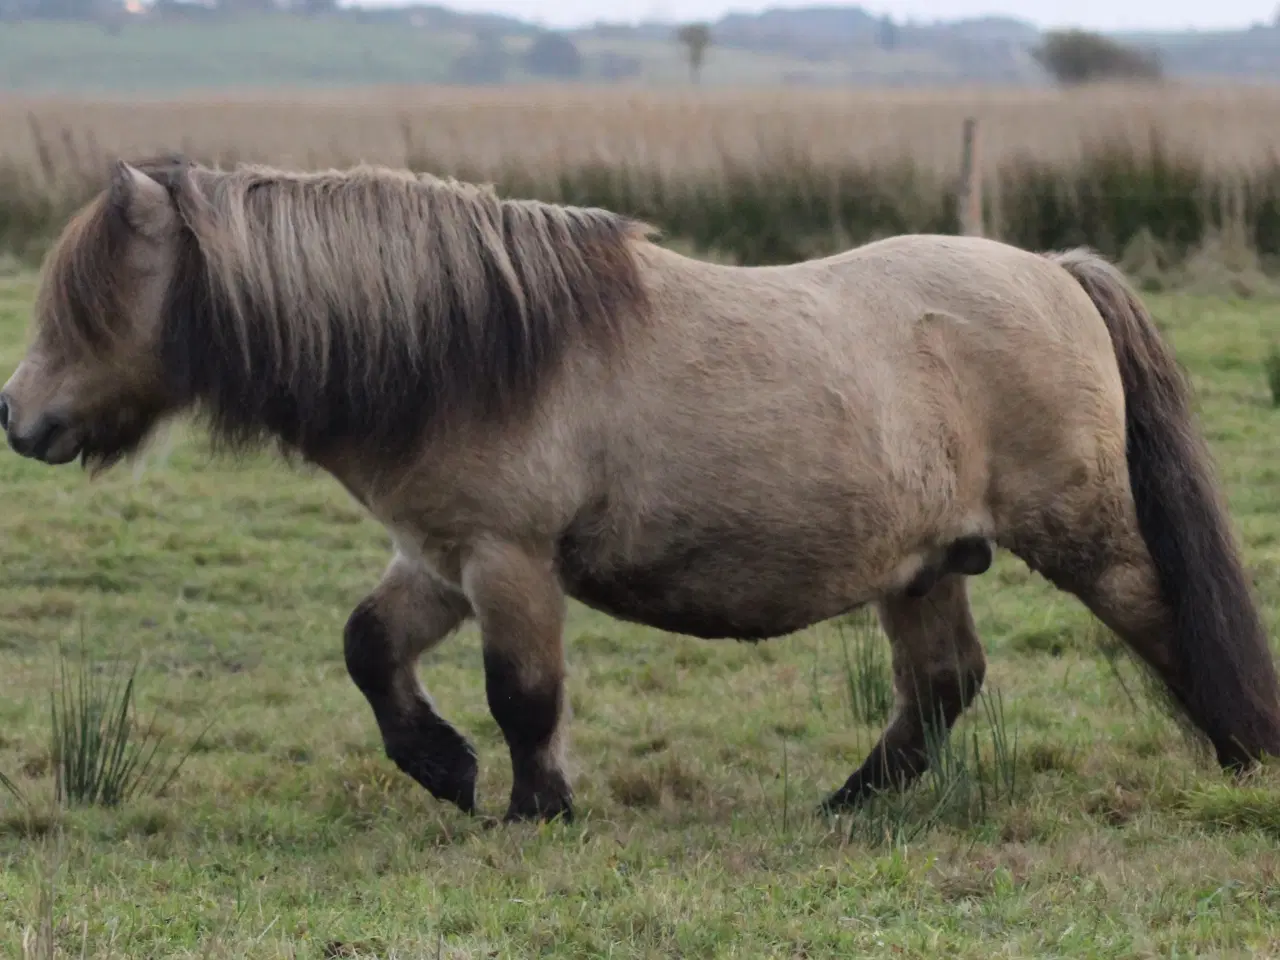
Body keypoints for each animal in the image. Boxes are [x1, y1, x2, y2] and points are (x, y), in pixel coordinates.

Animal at [2, 154, 1280, 824]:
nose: (17, 416)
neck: (470, 348)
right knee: (942, 684)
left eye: (88, 302)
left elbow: (523, 693)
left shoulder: (509, 560)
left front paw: (535, 809)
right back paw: (847, 805)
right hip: (920, 564)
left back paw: (1240, 758)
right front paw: (447, 770)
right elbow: (369, 649)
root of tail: (1054, 271)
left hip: (1082, 537)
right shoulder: (440, 559)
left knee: (1164, 619)